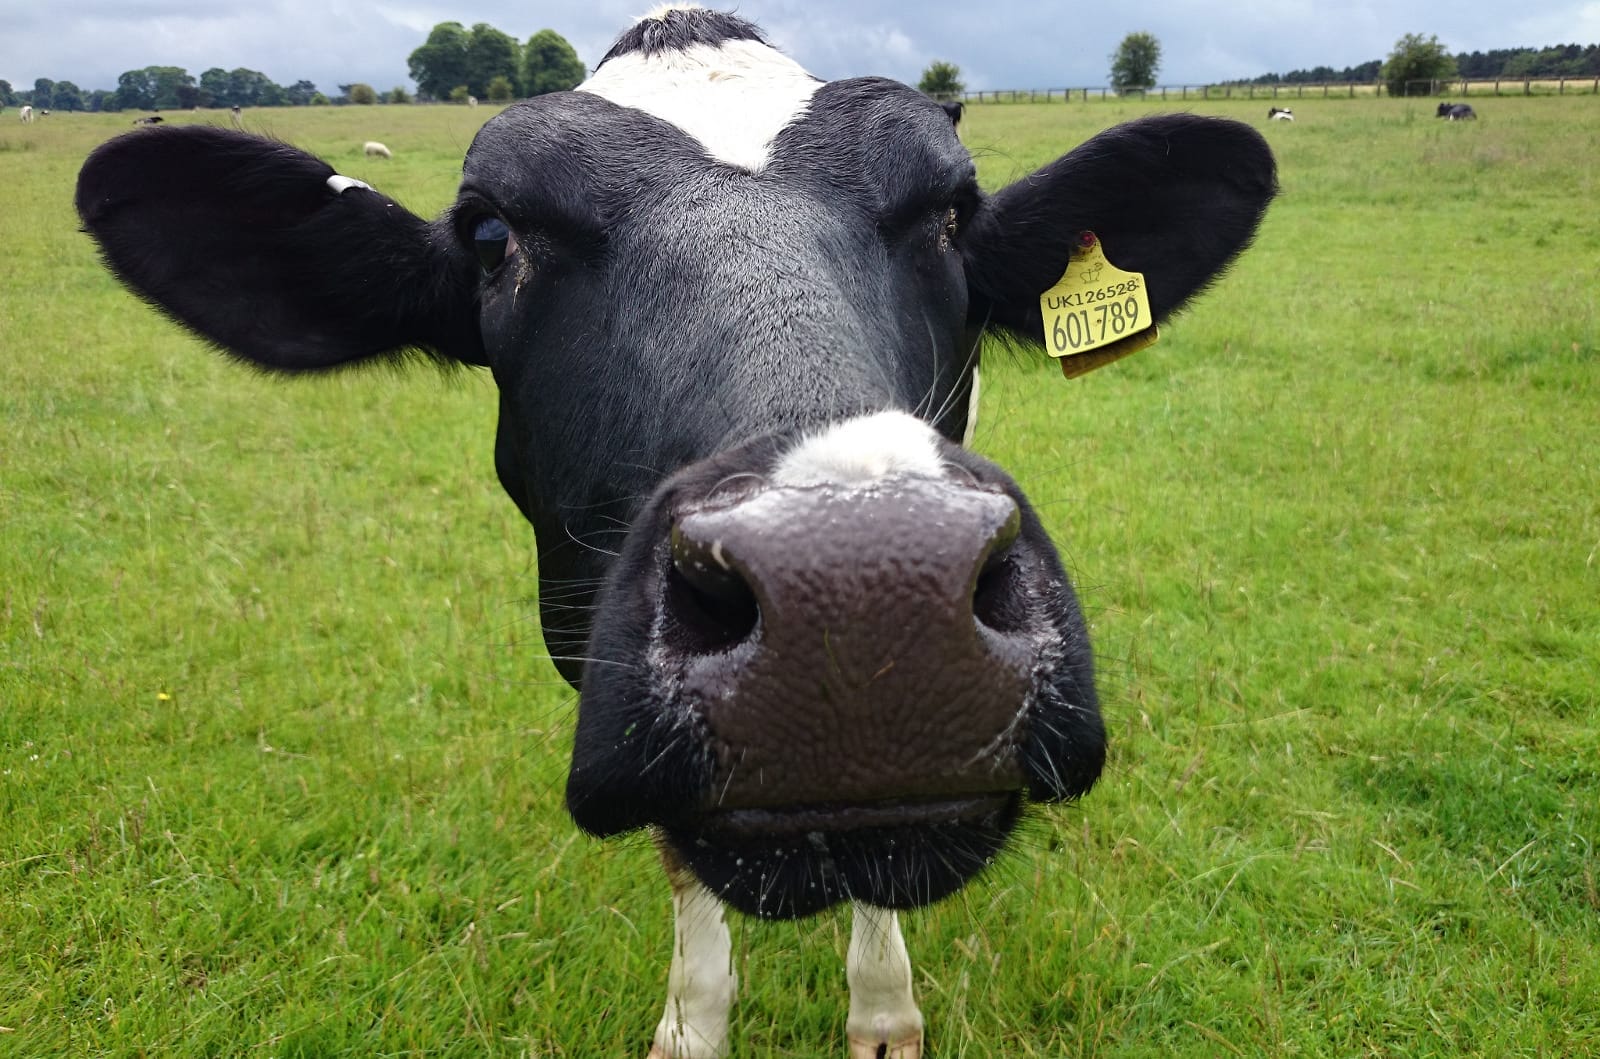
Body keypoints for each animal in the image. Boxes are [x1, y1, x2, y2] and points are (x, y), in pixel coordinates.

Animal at [74, 7, 1275, 1057]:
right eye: (494, 236)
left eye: (950, 215)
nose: (864, 596)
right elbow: (682, 868)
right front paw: (692, 1026)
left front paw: (884, 1014)